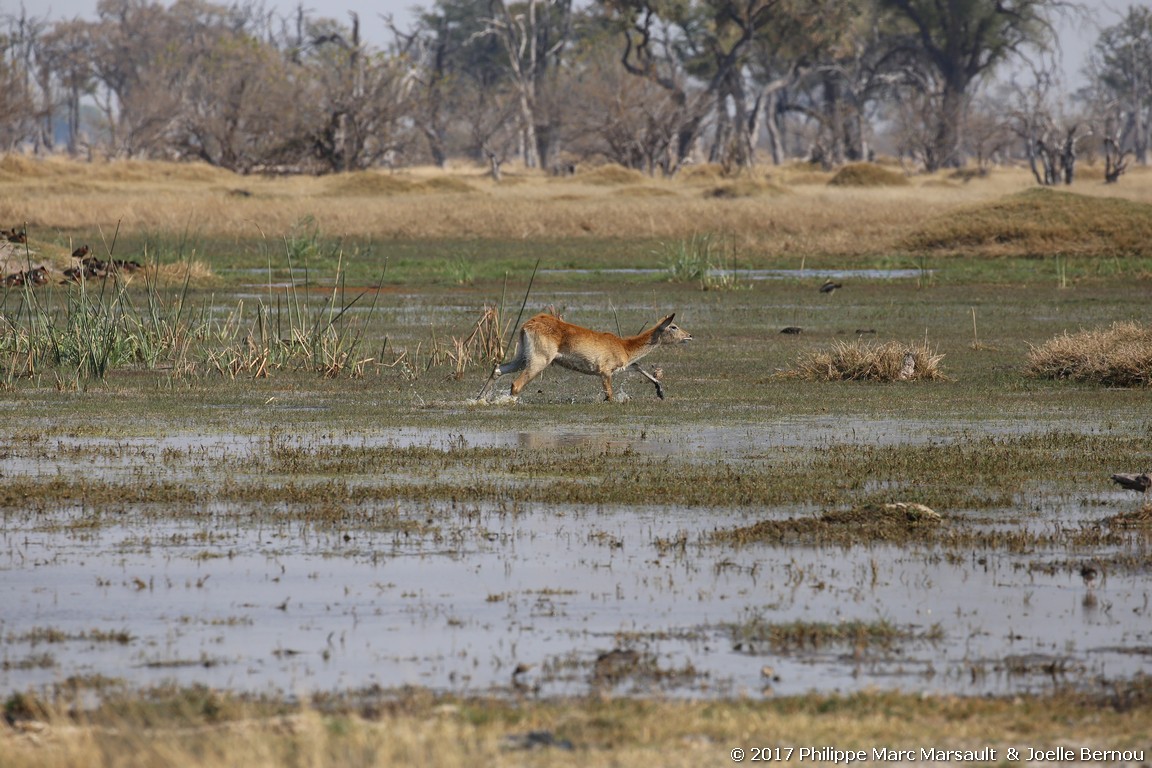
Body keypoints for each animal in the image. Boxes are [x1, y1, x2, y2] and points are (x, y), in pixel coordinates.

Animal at [488, 313, 691, 402]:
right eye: (673, 326)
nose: (689, 336)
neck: (624, 347)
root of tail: (528, 324)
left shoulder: (623, 366)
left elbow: (637, 365)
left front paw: (660, 391)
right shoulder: (605, 372)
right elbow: (610, 395)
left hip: (522, 359)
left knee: (497, 369)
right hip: (539, 361)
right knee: (516, 384)